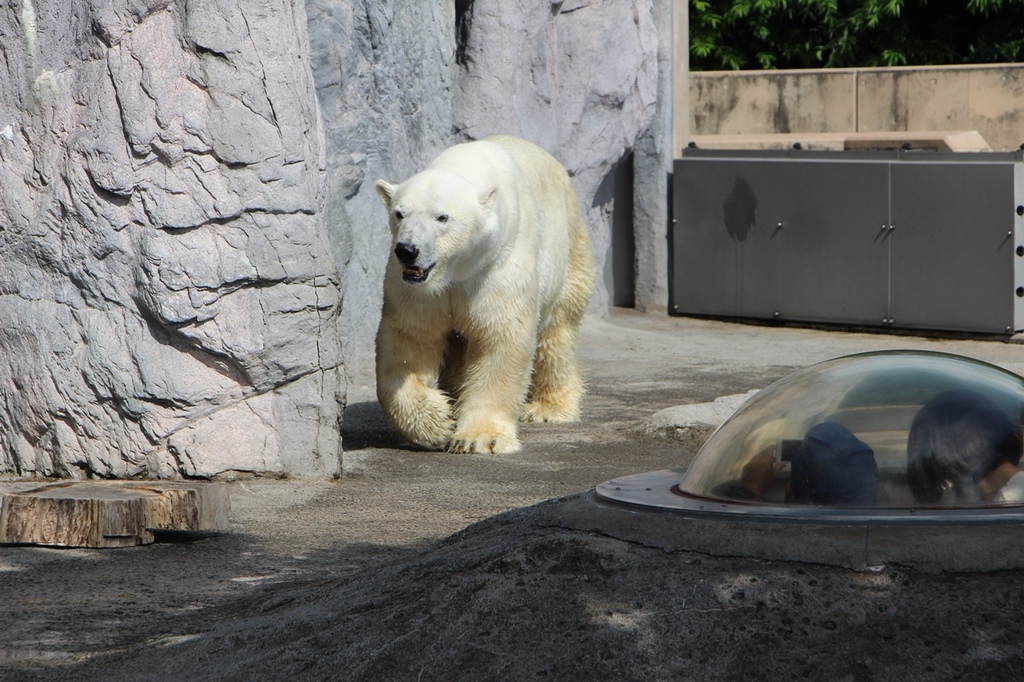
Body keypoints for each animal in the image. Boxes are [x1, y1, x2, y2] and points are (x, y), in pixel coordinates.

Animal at [374, 134, 598, 450]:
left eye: (442, 217)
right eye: (399, 213)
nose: (408, 250)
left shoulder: (497, 266)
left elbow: (499, 339)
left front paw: (479, 438)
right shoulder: (419, 290)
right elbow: (409, 340)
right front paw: (437, 422)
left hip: (570, 251)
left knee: (557, 333)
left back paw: (550, 408)